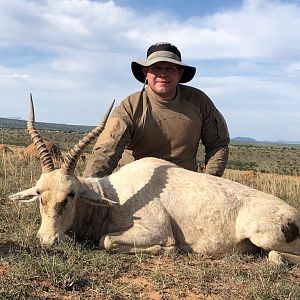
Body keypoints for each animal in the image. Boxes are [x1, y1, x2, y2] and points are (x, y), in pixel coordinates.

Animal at [8, 95, 300, 264]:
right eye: (39, 194)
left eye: (71, 195)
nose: (47, 240)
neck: (114, 197)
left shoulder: (156, 230)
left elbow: (107, 241)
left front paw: (172, 250)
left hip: (263, 237)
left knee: (275, 256)